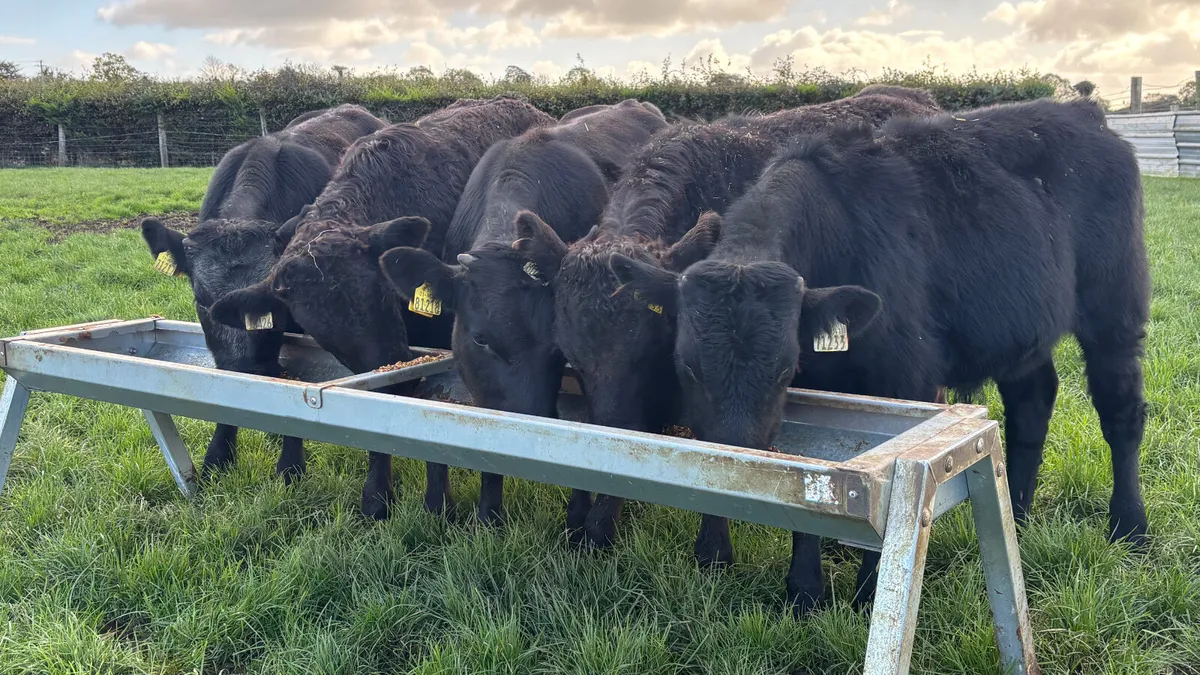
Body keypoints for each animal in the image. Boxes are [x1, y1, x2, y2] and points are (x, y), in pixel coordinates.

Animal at [607, 97, 1149, 614]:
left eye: (783, 369)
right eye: (687, 367)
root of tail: (1082, 113)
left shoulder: (907, 377)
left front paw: (866, 591)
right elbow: (805, 470)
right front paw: (801, 591)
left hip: (1115, 308)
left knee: (1120, 412)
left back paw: (1130, 528)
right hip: (1023, 329)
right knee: (1032, 403)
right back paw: (1017, 516)